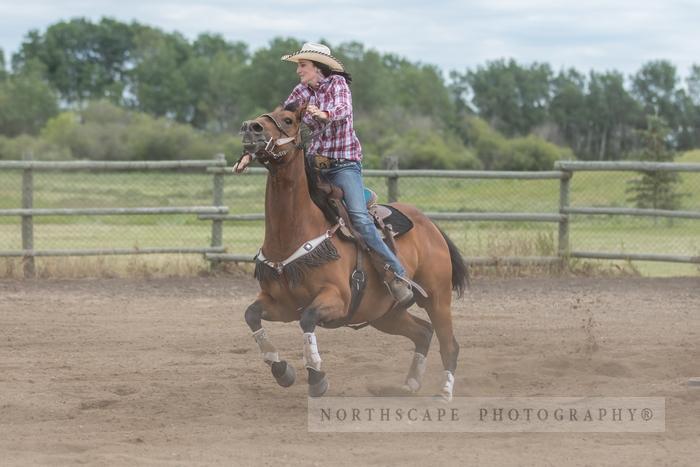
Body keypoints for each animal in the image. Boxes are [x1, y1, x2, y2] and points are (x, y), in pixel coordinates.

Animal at [237, 103, 470, 402]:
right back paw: (409, 384)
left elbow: (308, 319)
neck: (293, 233)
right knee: (423, 332)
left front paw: (316, 377)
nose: (250, 127)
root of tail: (430, 225)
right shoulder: (281, 304)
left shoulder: (337, 298)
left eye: (287, 120)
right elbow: (251, 315)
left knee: (449, 343)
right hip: (384, 314)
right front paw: (282, 370)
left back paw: (443, 392)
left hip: (438, 298)